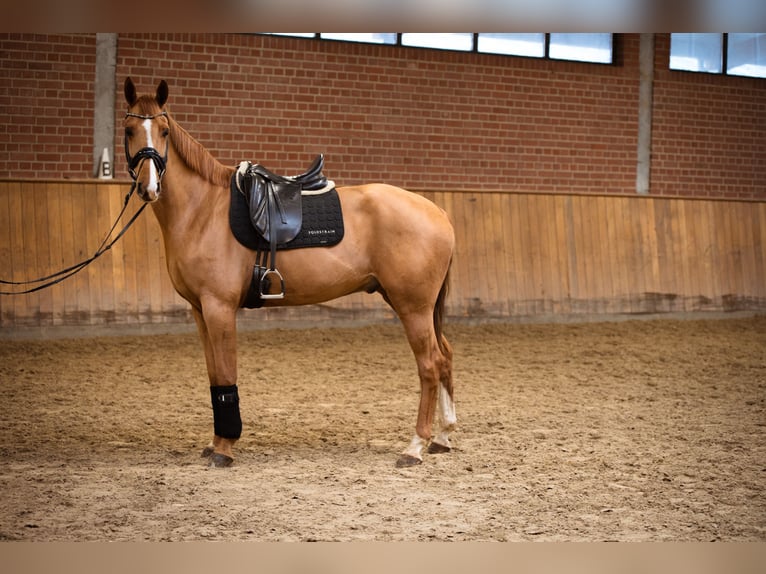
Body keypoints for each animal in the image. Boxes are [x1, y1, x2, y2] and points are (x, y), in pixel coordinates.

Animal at [122, 78, 456, 468]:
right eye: (129, 130)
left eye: (164, 130)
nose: (149, 187)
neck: (203, 210)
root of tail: (437, 211)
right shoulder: (200, 311)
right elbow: (215, 376)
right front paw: (216, 441)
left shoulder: (219, 308)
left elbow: (227, 374)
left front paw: (224, 448)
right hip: (414, 305)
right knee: (445, 356)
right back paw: (443, 437)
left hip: (412, 307)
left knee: (430, 364)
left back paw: (415, 446)